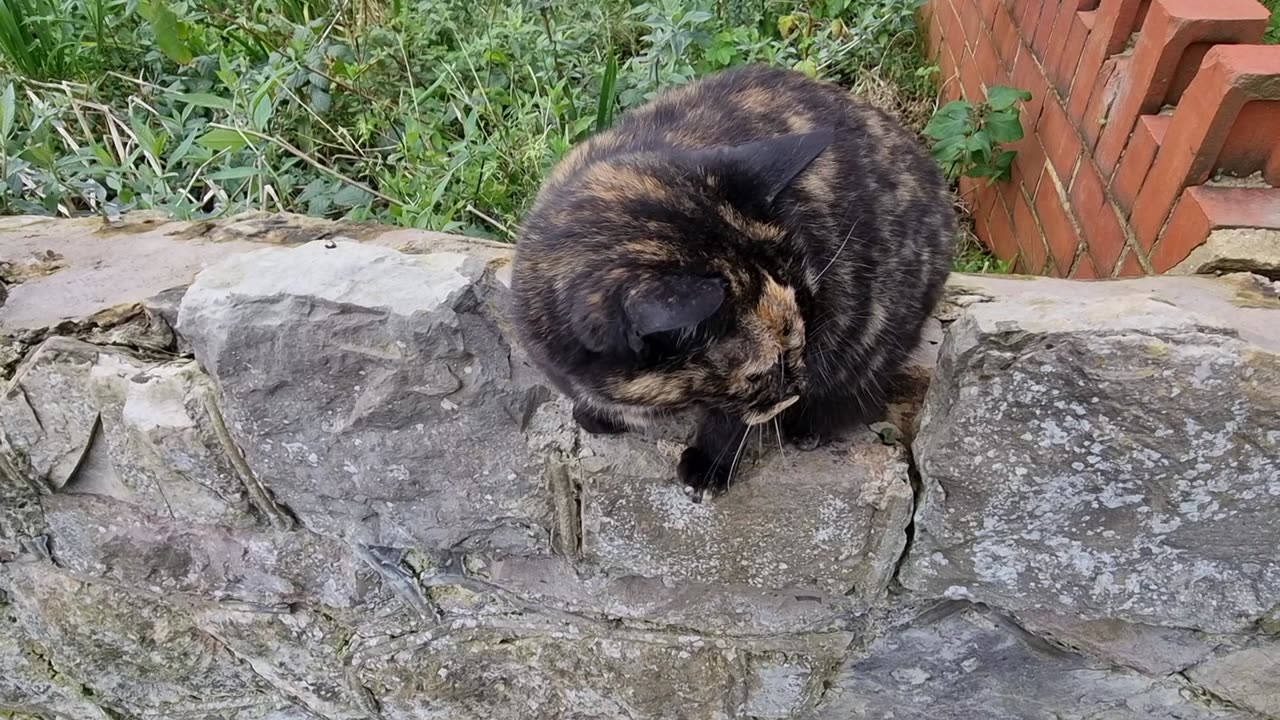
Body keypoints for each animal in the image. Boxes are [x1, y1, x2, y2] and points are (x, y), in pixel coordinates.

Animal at [506, 63, 952, 499]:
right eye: (762, 372)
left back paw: (811, 423)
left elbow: (731, 419)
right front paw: (598, 413)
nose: (800, 384)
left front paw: (710, 463)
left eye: (811, 318)